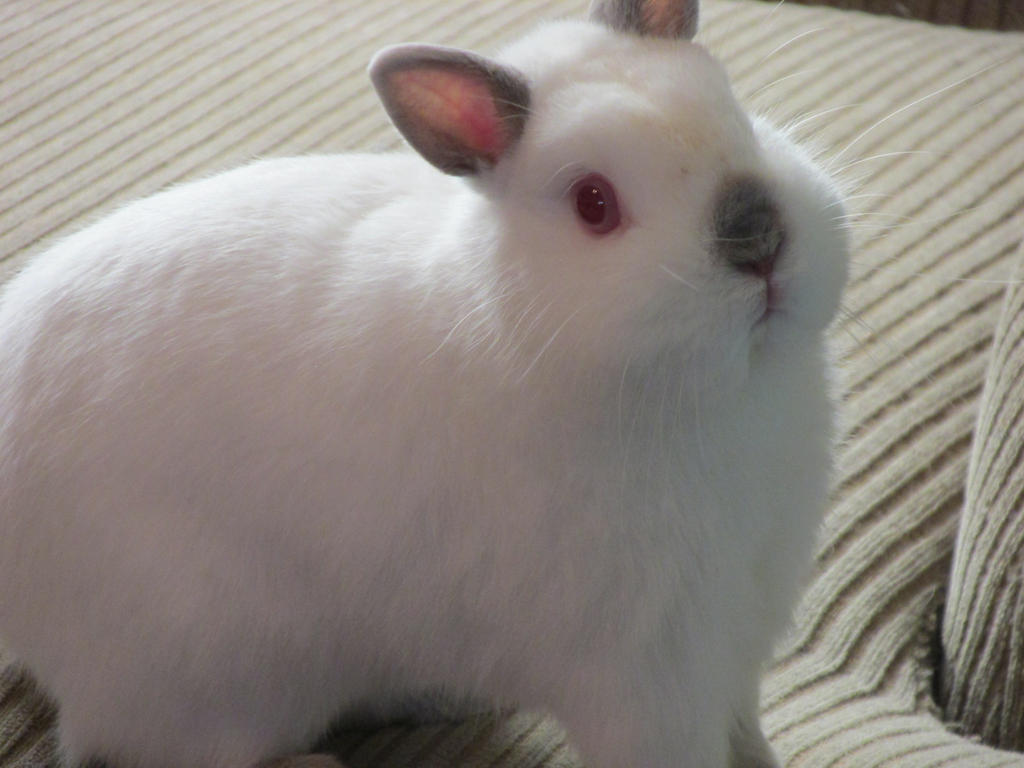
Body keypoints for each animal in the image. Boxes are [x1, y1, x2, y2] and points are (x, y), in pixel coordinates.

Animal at [0, 0, 849, 767]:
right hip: (217, 669)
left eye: (735, 112)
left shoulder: (737, 642)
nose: (758, 238)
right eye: (594, 203)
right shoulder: (649, 679)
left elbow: (748, 735)